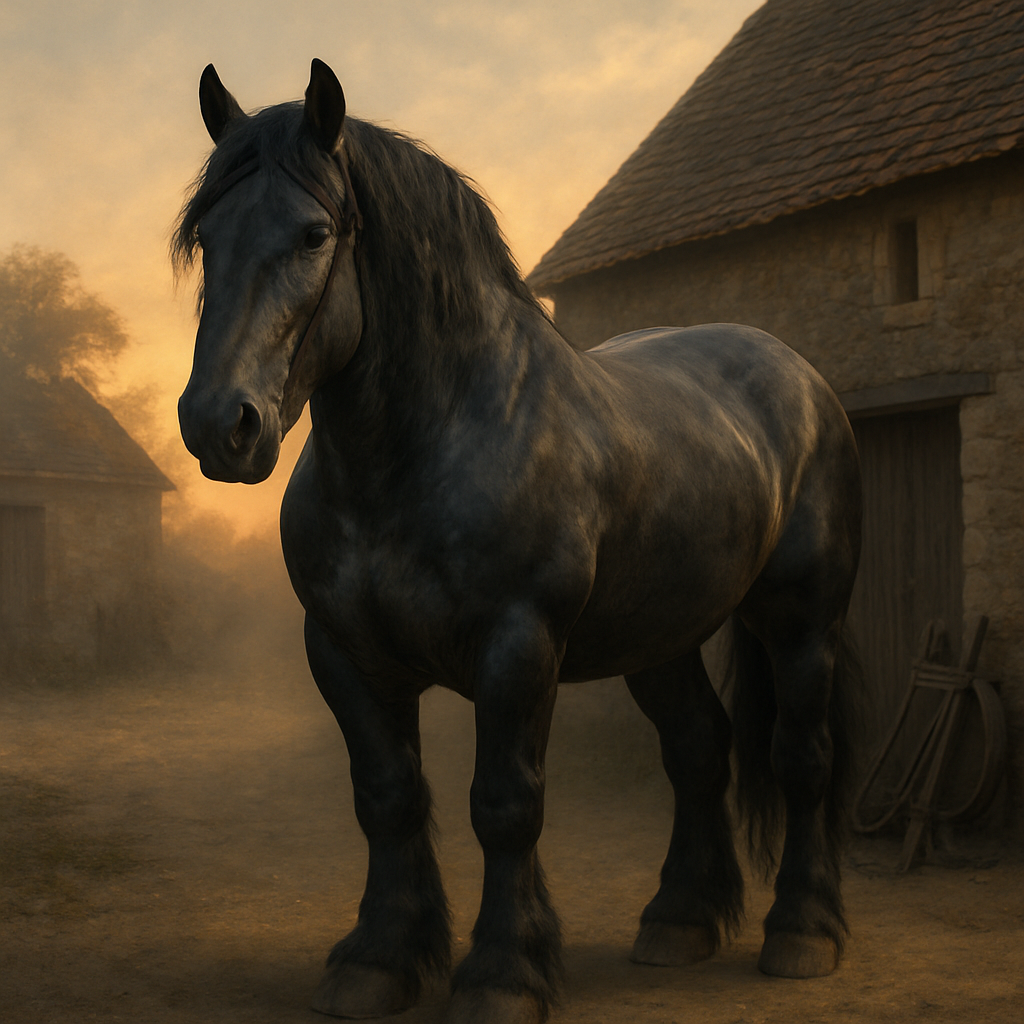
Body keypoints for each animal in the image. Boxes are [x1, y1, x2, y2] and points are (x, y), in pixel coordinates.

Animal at [175, 59, 862, 1024]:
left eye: (314, 235)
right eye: (206, 238)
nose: (219, 425)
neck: (426, 446)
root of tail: (799, 376)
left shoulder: (516, 647)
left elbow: (504, 806)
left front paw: (503, 974)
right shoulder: (343, 652)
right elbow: (387, 798)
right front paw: (379, 962)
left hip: (801, 624)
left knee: (803, 759)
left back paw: (803, 933)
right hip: (660, 639)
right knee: (698, 750)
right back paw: (680, 923)